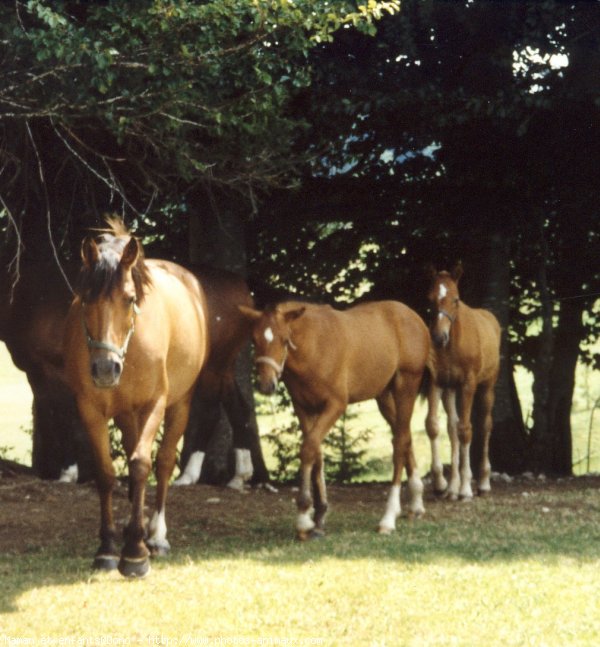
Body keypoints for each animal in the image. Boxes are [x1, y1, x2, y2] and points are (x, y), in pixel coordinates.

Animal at [63, 223, 209, 576]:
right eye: (86, 297)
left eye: (130, 299)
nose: (105, 369)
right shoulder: (90, 409)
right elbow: (105, 472)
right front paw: (107, 547)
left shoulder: (154, 404)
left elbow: (143, 464)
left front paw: (135, 553)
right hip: (126, 414)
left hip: (179, 405)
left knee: (164, 461)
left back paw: (155, 536)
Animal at [240, 302, 432, 540]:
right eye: (254, 339)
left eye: (284, 339)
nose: (267, 385)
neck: (313, 347)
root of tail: (414, 318)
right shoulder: (304, 408)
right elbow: (316, 452)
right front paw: (318, 517)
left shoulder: (335, 405)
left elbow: (308, 449)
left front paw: (303, 518)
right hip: (384, 397)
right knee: (404, 437)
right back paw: (415, 504)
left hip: (406, 385)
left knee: (399, 444)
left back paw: (388, 518)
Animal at [426, 264, 502, 502]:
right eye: (430, 298)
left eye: (456, 299)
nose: (438, 337)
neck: (452, 345)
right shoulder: (437, 383)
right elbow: (434, 426)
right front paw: (441, 483)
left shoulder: (468, 385)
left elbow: (466, 430)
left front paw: (466, 488)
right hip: (451, 390)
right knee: (452, 427)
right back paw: (452, 487)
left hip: (487, 387)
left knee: (485, 425)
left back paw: (483, 482)